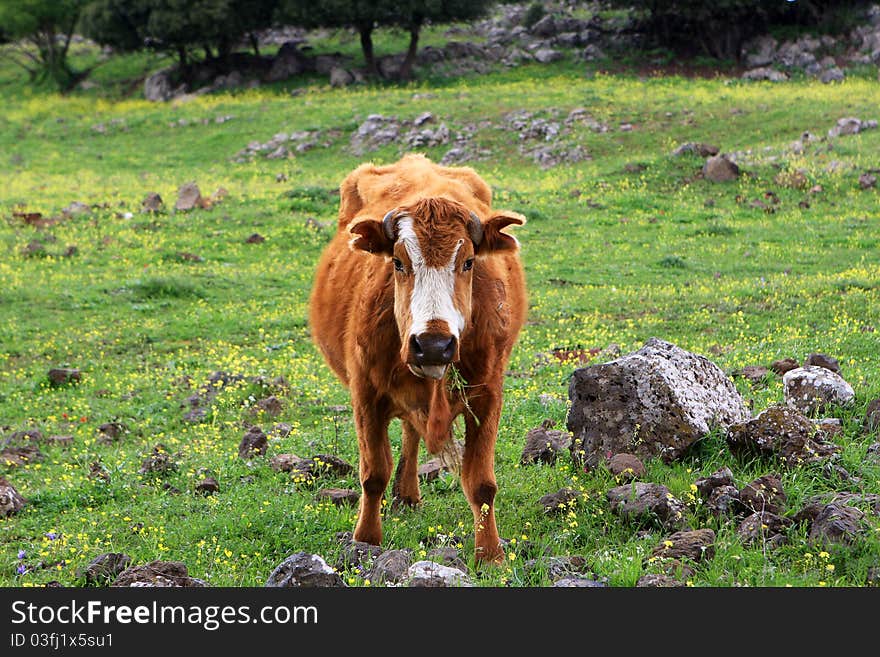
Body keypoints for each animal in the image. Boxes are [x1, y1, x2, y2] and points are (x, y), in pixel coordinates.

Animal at [310, 152, 524, 560]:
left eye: (468, 262)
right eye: (398, 262)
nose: (434, 344)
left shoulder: (487, 395)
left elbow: (482, 482)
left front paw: (490, 554)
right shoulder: (366, 394)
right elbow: (373, 473)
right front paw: (365, 541)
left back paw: (408, 493)